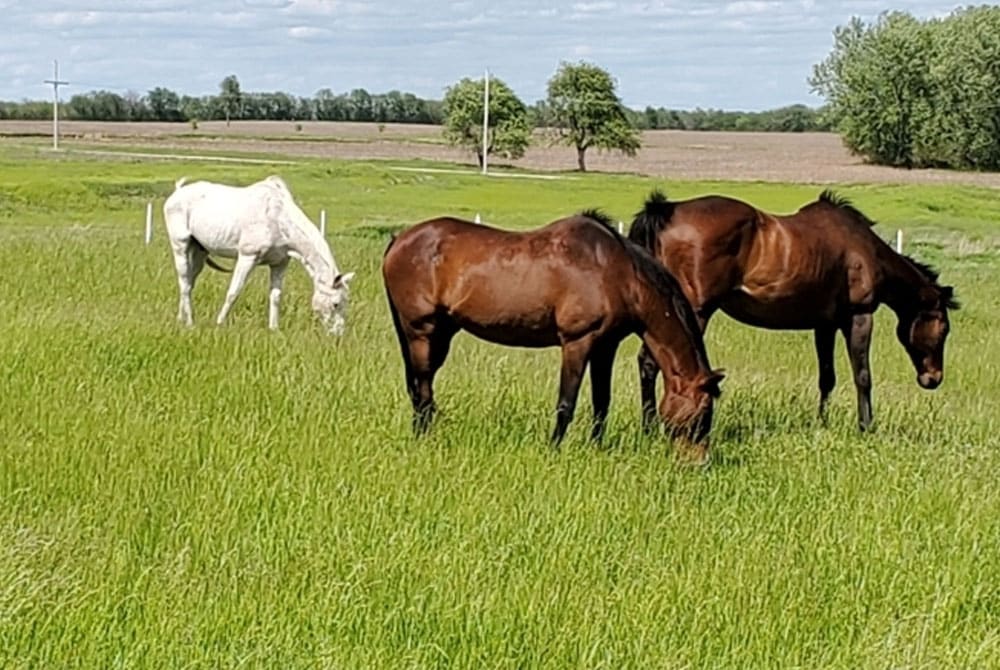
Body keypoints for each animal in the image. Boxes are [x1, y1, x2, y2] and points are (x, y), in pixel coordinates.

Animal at [163, 175, 355, 334]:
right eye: (336, 303)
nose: (338, 334)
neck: (278, 218)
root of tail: (177, 192)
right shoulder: (247, 257)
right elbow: (233, 292)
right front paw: (219, 323)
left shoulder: (279, 264)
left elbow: (276, 296)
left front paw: (274, 329)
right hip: (180, 246)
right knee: (184, 282)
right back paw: (189, 322)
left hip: (199, 253)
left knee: (189, 282)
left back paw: (181, 318)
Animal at [382, 210, 724, 459]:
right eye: (704, 412)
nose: (699, 461)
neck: (615, 272)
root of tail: (399, 240)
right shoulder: (577, 342)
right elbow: (566, 402)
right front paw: (554, 449)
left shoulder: (606, 346)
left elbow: (602, 402)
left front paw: (596, 448)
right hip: (420, 331)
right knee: (422, 387)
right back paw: (423, 437)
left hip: (441, 333)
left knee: (421, 387)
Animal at [627, 189, 957, 432]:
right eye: (943, 328)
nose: (933, 378)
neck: (864, 249)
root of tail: (666, 212)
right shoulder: (859, 316)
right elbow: (862, 375)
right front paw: (866, 427)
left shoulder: (825, 325)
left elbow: (827, 377)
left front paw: (822, 423)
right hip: (694, 311)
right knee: (654, 363)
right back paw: (653, 425)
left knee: (648, 363)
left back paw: (649, 425)